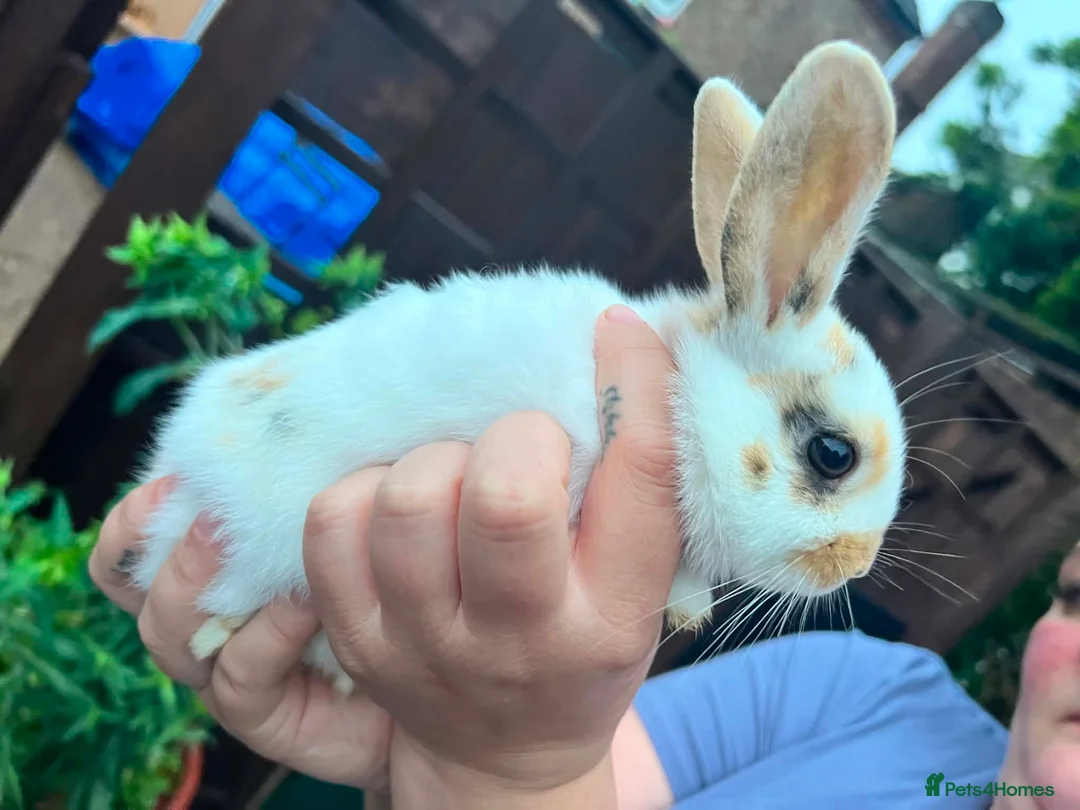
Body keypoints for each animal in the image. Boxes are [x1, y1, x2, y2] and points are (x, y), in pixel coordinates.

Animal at [128, 40, 907, 694]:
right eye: (833, 454)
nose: (857, 563)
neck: (685, 395)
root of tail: (181, 463)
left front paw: (687, 605)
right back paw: (212, 635)